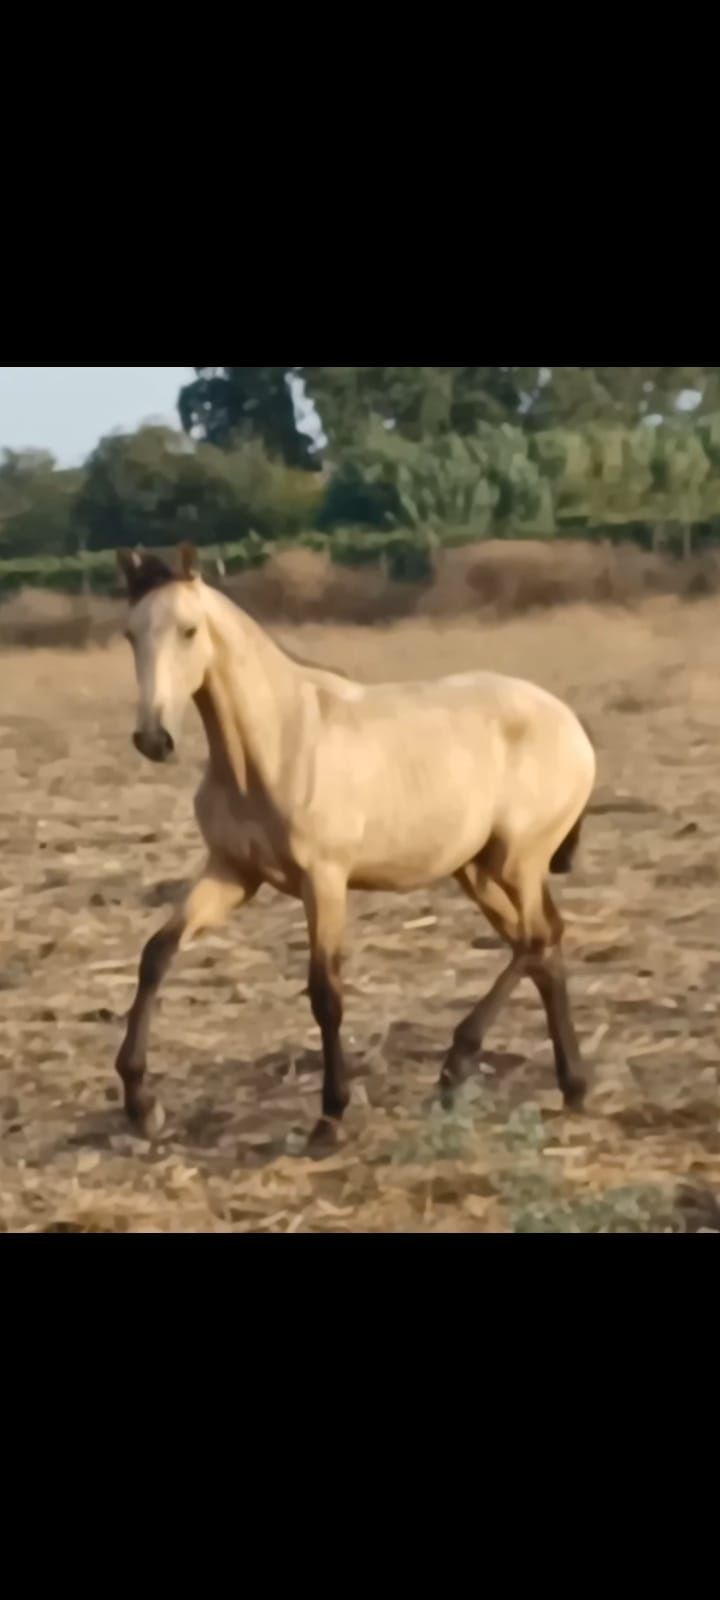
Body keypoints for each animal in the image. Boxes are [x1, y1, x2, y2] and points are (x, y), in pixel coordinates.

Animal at [113, 544, 595, 1158]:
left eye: (189, 630)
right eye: (130, 634)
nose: (154, 739)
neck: (277, 745)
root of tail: (569, 722)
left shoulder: (324, 880)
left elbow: (326, 992)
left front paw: (329, 1119)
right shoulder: (232, 873)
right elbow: (157, 954)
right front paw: (140, 1105)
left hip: (518, 860)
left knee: (536, 940)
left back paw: (459, 1066)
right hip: (479, 871)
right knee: (542, 947)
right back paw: (567, 1085)